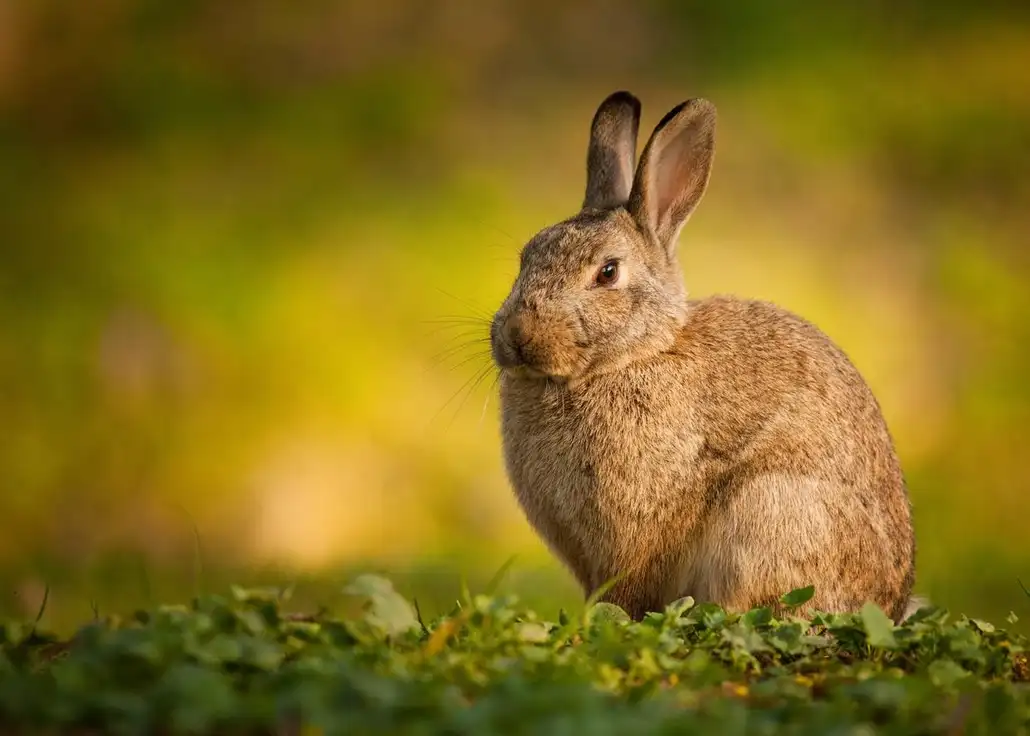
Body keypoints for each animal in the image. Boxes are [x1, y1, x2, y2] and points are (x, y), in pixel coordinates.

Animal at [489, 91, 917, 623]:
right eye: (526, 256)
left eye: (608, 272)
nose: (516, 335)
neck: (636, 355)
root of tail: (891, 603)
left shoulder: (639, 531)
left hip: (771, 510)